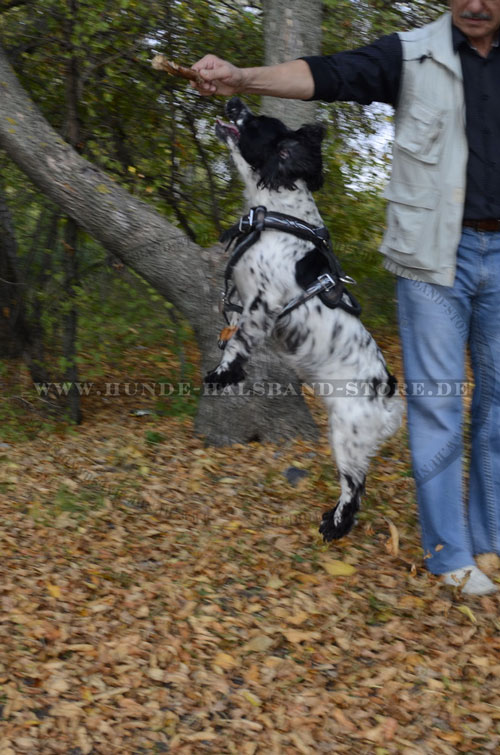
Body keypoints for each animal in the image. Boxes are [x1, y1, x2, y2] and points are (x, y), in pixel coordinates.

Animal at [205, 97, 404, 540]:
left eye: (256, 123)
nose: (232, 101)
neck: (274, 215)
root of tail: (387, 395)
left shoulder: (262, 302)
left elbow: (240, 341)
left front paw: (222, 374)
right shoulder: (241, 299)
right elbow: (232, 329)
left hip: (347, 434)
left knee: (354, 488)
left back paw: (335, 525)